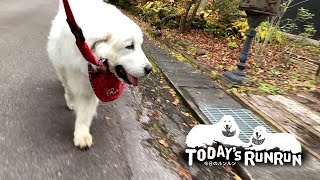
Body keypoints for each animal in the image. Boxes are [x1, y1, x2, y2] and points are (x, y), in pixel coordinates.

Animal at [47, 0, 152, 149]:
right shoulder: (68, 71)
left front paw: (81, 134)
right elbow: (70, 90)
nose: (149, 69)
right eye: (129, 46)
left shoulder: (91, 86)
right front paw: (71, 102)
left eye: (140, 45)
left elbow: (85, 114)